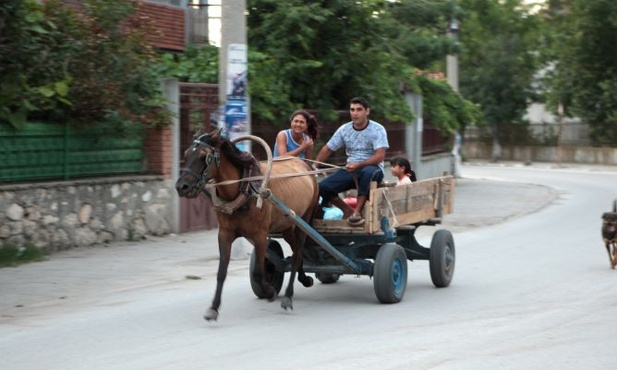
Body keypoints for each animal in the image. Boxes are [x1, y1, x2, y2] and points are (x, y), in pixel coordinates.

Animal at [173, 128, 318, 320]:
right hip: (287, 224)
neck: (245, 190)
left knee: (298, 252)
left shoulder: (260, 236)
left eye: (205, 156)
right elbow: (221, 271)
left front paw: (270, 292)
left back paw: (288, 296)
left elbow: (258, 272)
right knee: (296, 252)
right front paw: (214, 307)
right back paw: (303, 279)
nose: (182, 187)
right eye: (186, 153)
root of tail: (305, 165)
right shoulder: (224, 234)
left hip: (305, 219)